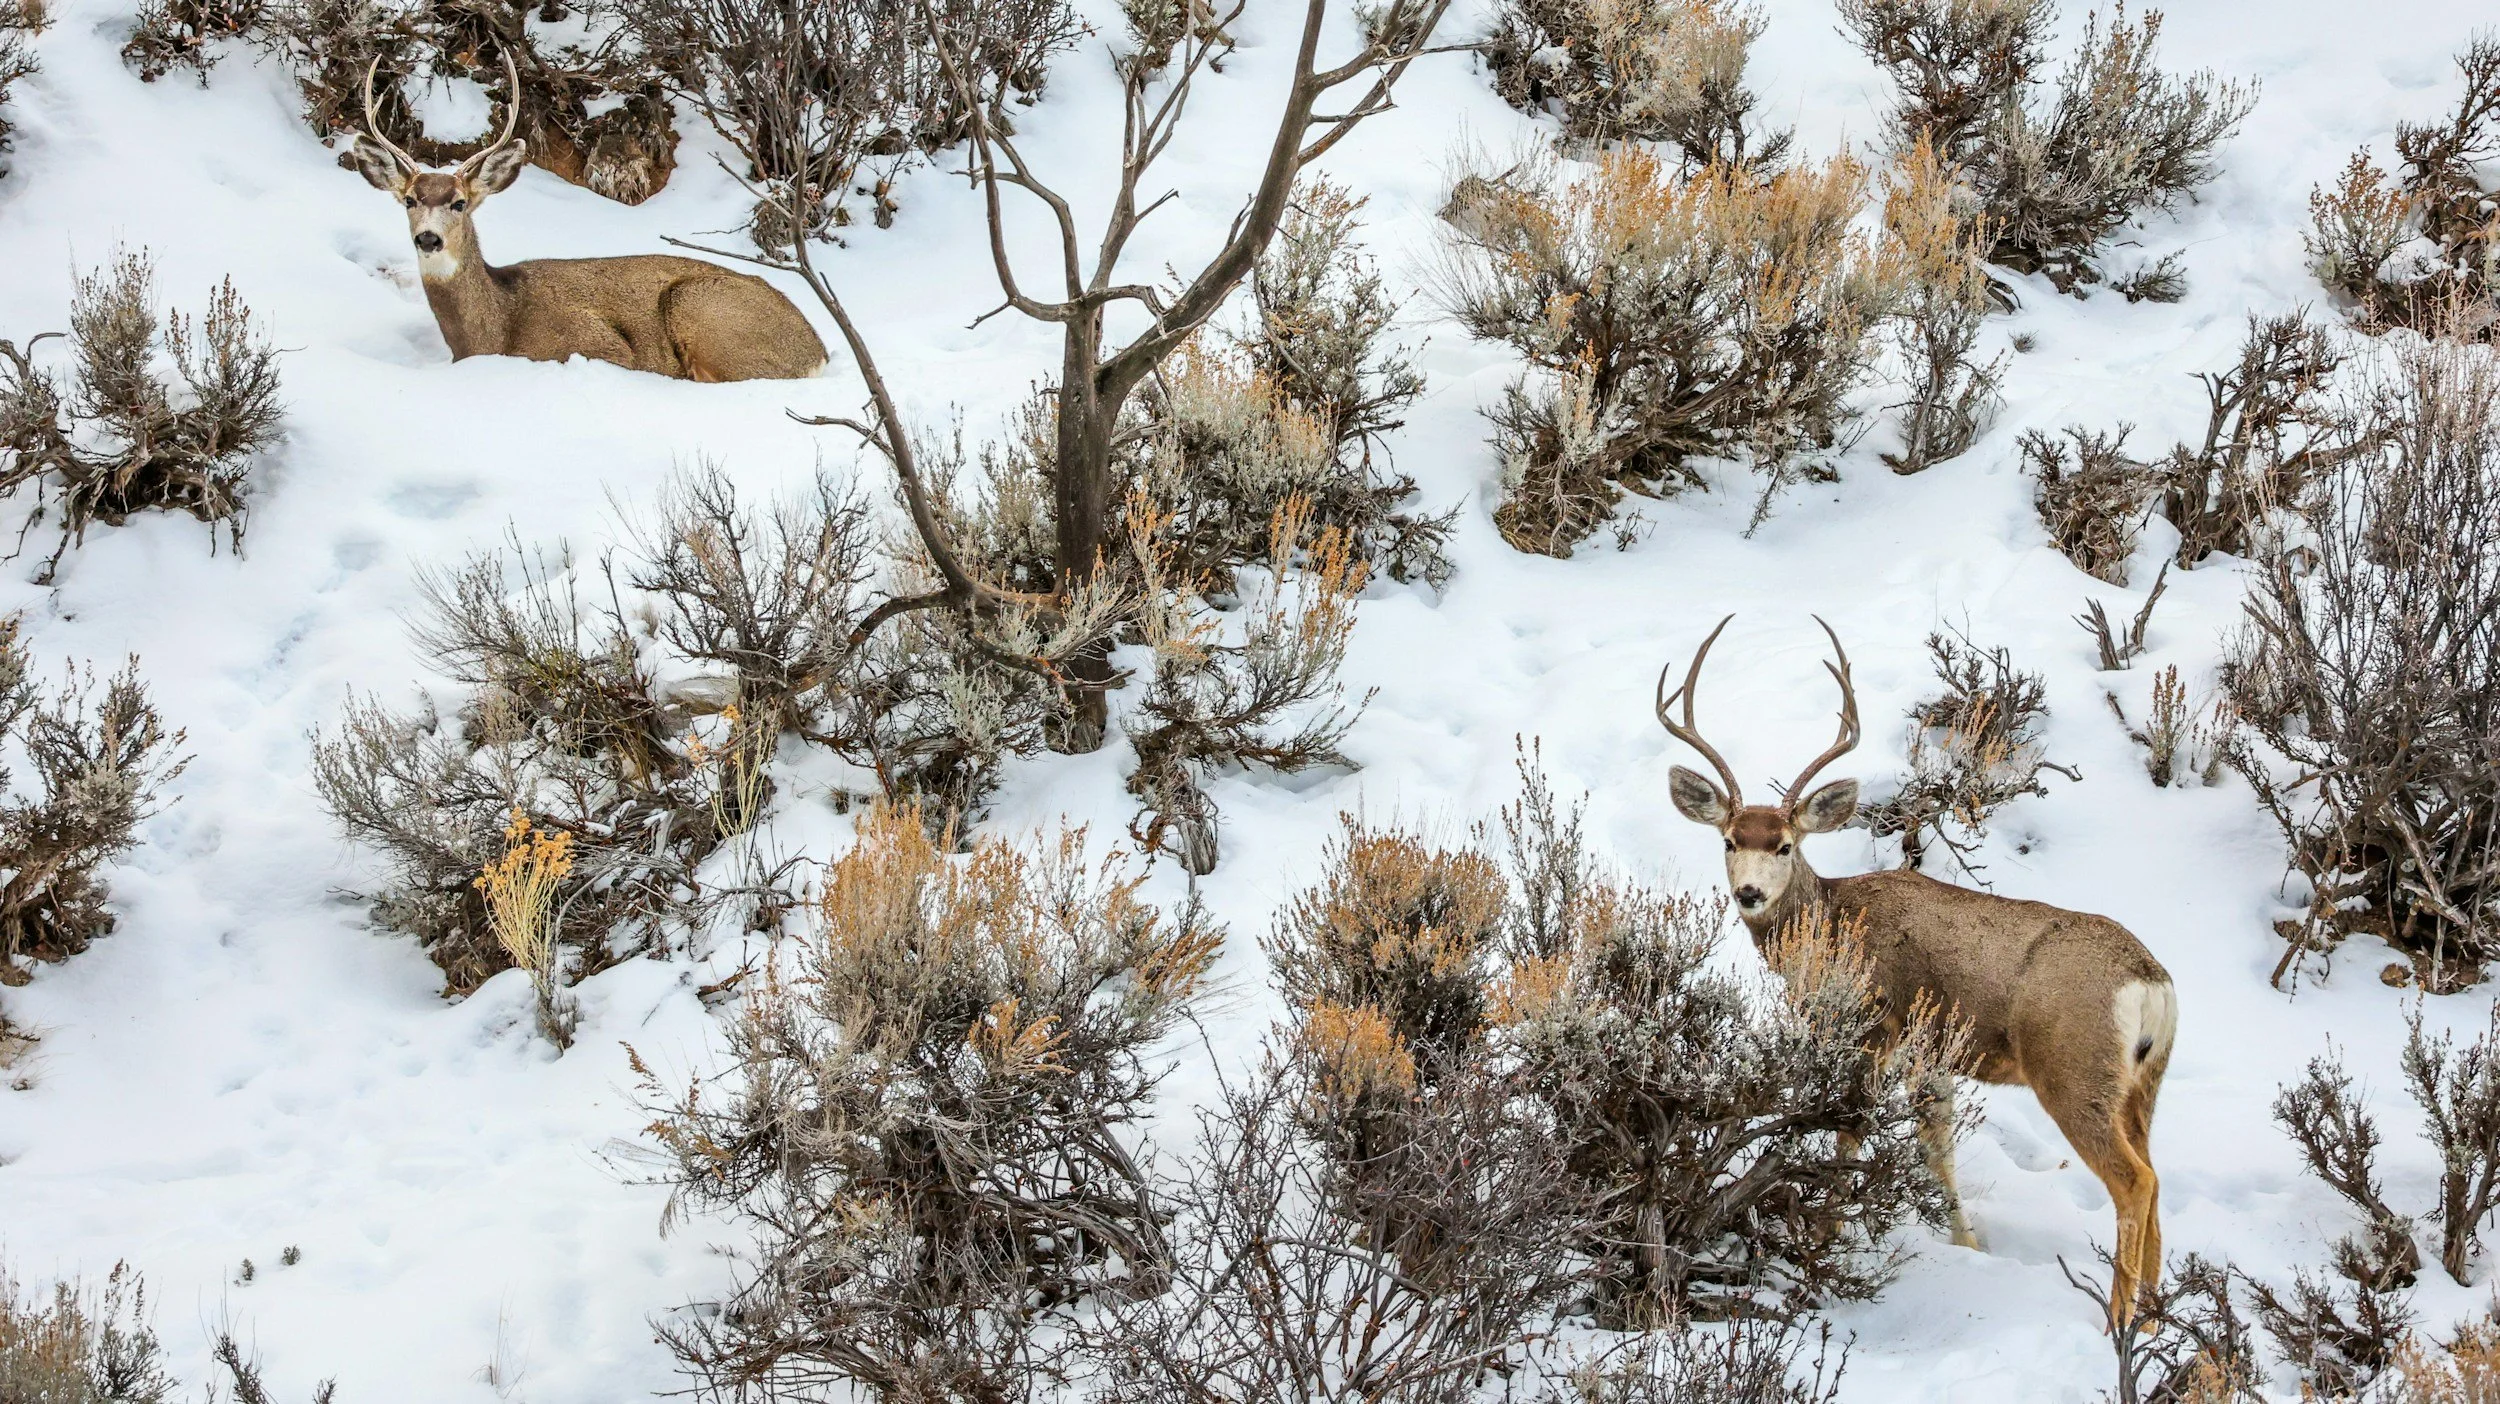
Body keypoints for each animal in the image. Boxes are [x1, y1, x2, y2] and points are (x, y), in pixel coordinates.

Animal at [349, 55, 827, 382]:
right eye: (409, 200)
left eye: (459, 203)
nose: (428, 239)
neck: (496, 331)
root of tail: (817, 350)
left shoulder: (599, 346)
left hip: (701, 308)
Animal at [1653, 615, 2177, 1332]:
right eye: (1730, 841)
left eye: (1785, 845)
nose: (1750, 893)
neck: (1831, 928)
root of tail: (2149, 981)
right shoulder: (1931, 1057)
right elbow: (1939, 1150)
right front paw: (1967, 1245)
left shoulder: (1873, 1029)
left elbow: (1848, 1136)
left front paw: (1824, 1239)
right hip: (2143, 1084)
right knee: (2157, 1177)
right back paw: (2154, 1320)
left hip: (2073, 1069)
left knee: (2134, 1181)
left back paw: (2119, 1321)